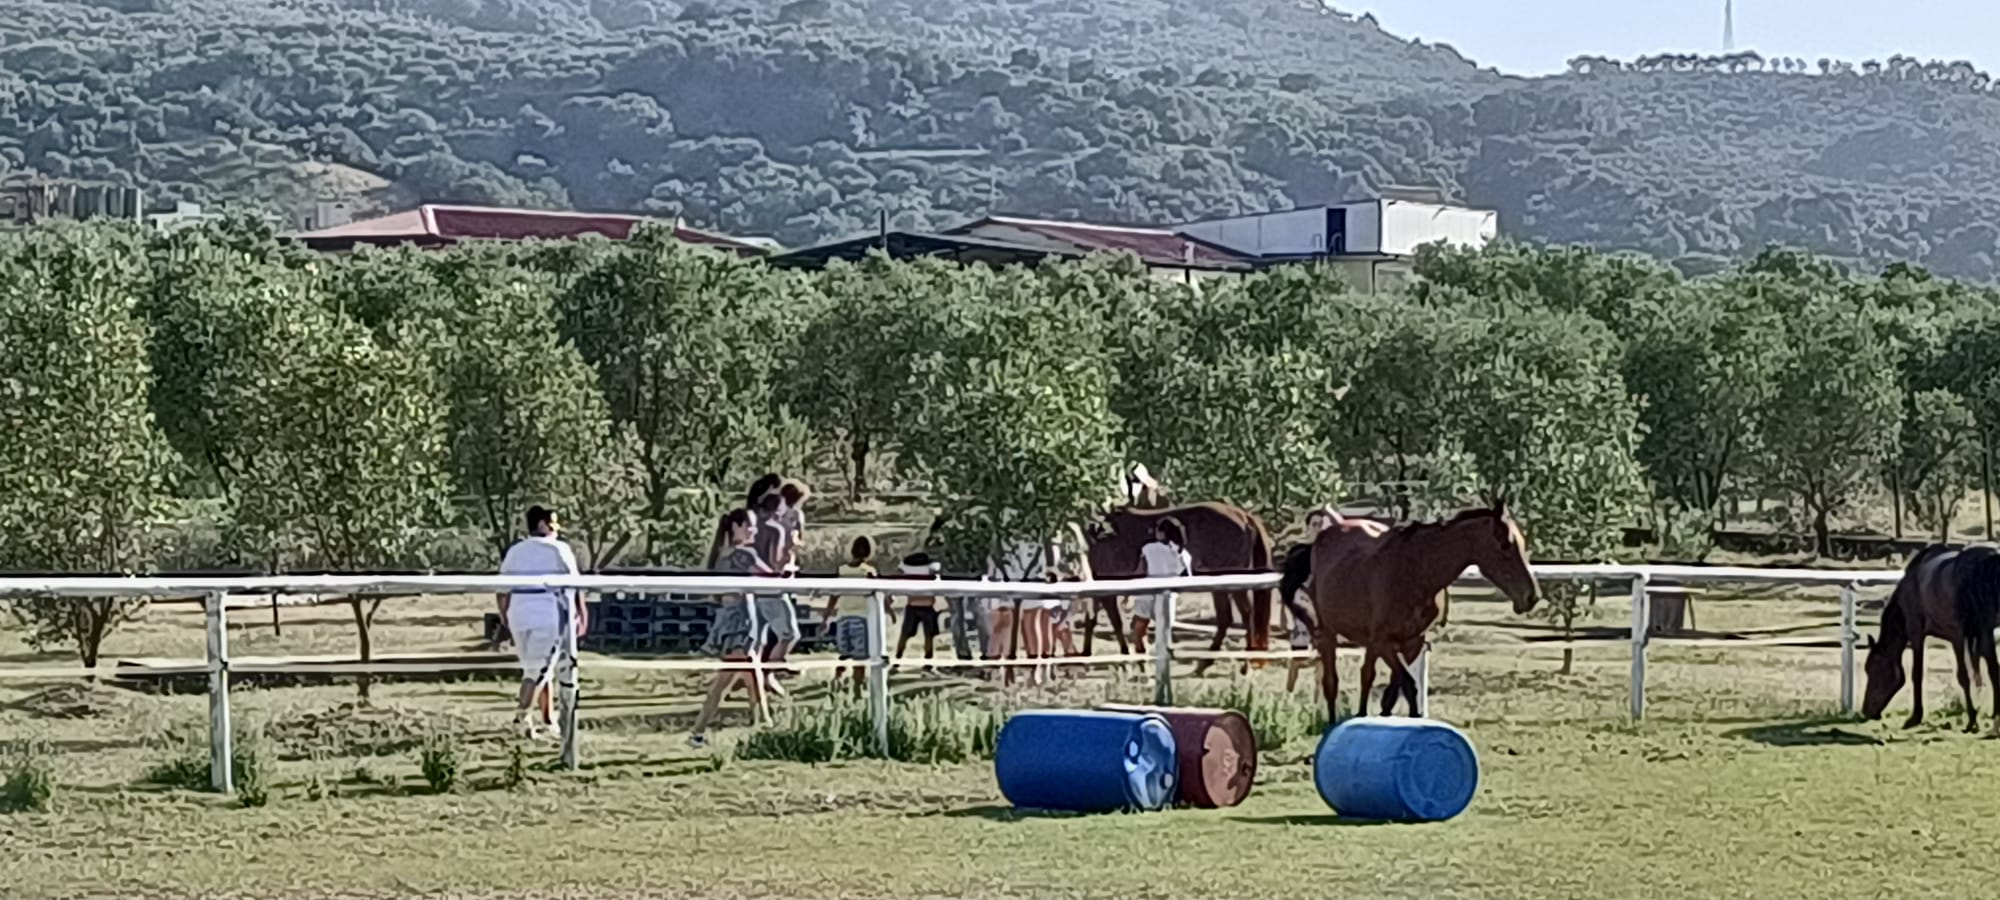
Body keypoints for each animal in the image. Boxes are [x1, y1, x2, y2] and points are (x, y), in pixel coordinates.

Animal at [1088, 500, 1272, 668]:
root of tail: (1244, 516)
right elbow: (1094, 619)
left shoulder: (1107, 590)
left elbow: (1114, 621)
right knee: (1227, 618)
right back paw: (1206, 663)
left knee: (1246, 614)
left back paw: (1244, 664)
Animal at [1304, 502, 1536, 720]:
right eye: (1505, 545)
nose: (1531, 596)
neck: (1418, 571)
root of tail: (1333, 527)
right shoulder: (1384, 642)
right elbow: (1408, 685)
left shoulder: (1411, 643)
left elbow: (1396, 692)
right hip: (1328, 634)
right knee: (1331, 683)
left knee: (1366, 676)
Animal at [1856, 544, 2000, 736]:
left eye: (1873, 670)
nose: (1867, 711)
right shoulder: (1981, 634)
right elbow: (1990, 672)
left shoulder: (1929, 633)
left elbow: (1923, 674)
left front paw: (1916, 717)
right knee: (1994, 671)